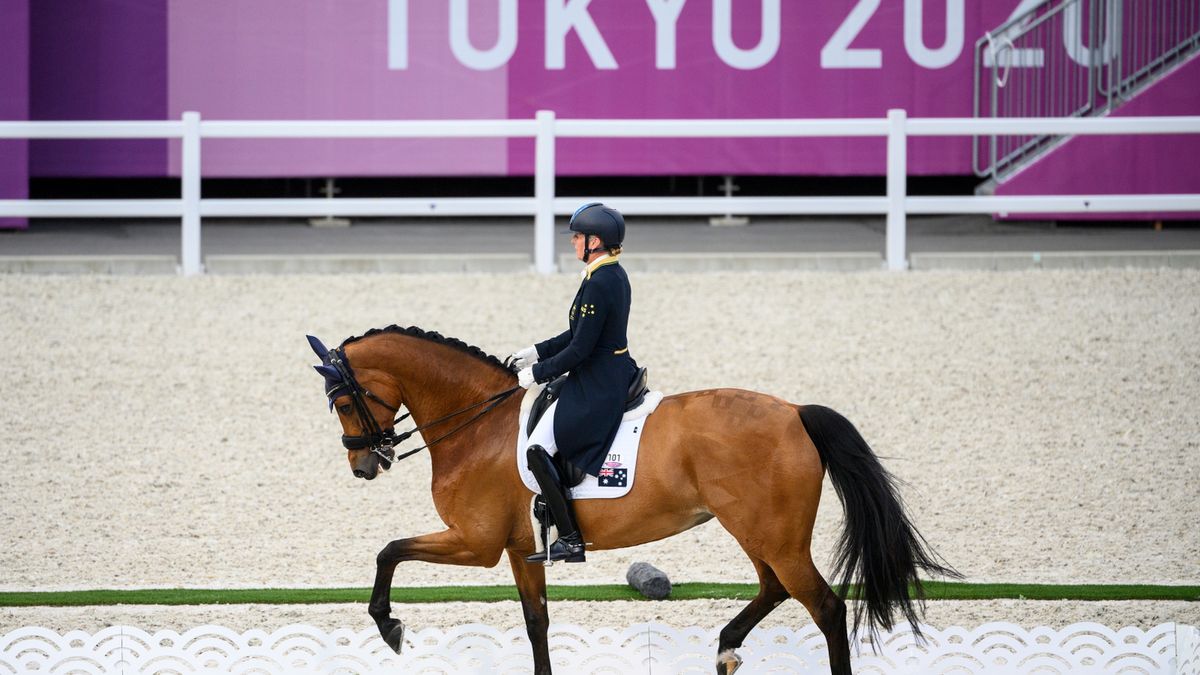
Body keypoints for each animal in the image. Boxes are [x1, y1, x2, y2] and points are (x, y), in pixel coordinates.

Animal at [307, 324, 955, 667]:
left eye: (343, 401)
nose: (364, 464)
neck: (476, 424)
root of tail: (795, 411)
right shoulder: (518, 550)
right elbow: (536, 623)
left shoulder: (477, 542)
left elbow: (389, 550)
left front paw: (389, 626)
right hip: (757, 531)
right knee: (774, 588)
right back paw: (725, 648)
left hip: (773, 535)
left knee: (824, 608)